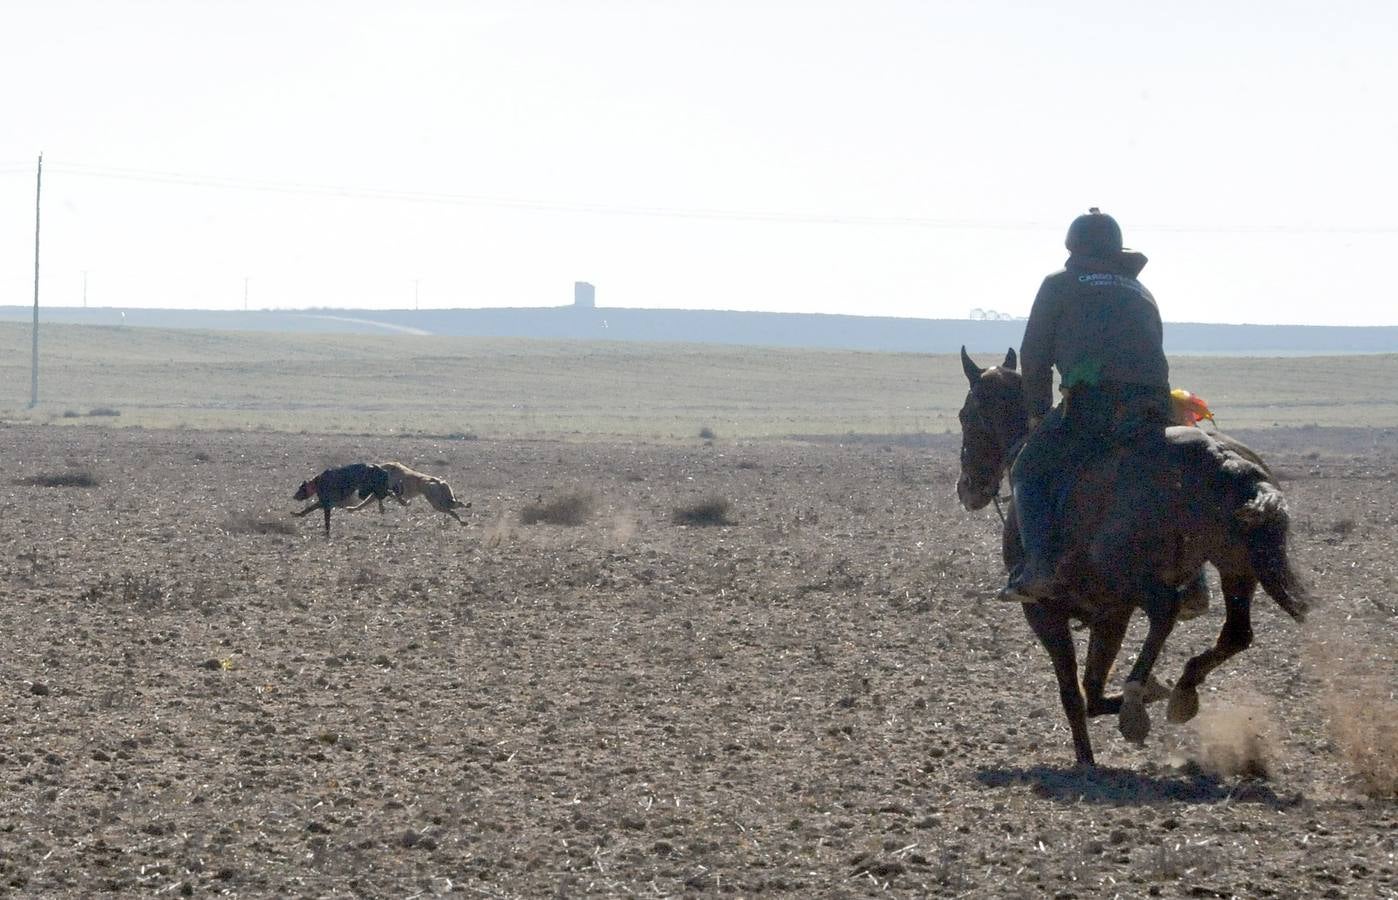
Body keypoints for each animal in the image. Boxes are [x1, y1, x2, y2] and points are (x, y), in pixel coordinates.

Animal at [956, 346, 1302, 765]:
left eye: (965, 414)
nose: (966, 487)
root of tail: (1221, 458)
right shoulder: (1111, 613)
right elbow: (1092, 691)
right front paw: (1156, 690)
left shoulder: (1044, 611)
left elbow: (1073, 693)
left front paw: (1087, 759)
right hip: (1235, 565)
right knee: (1235, 634)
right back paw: (1181, 691)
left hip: (1137, 578)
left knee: (1165, 611)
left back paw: (1138, 705)